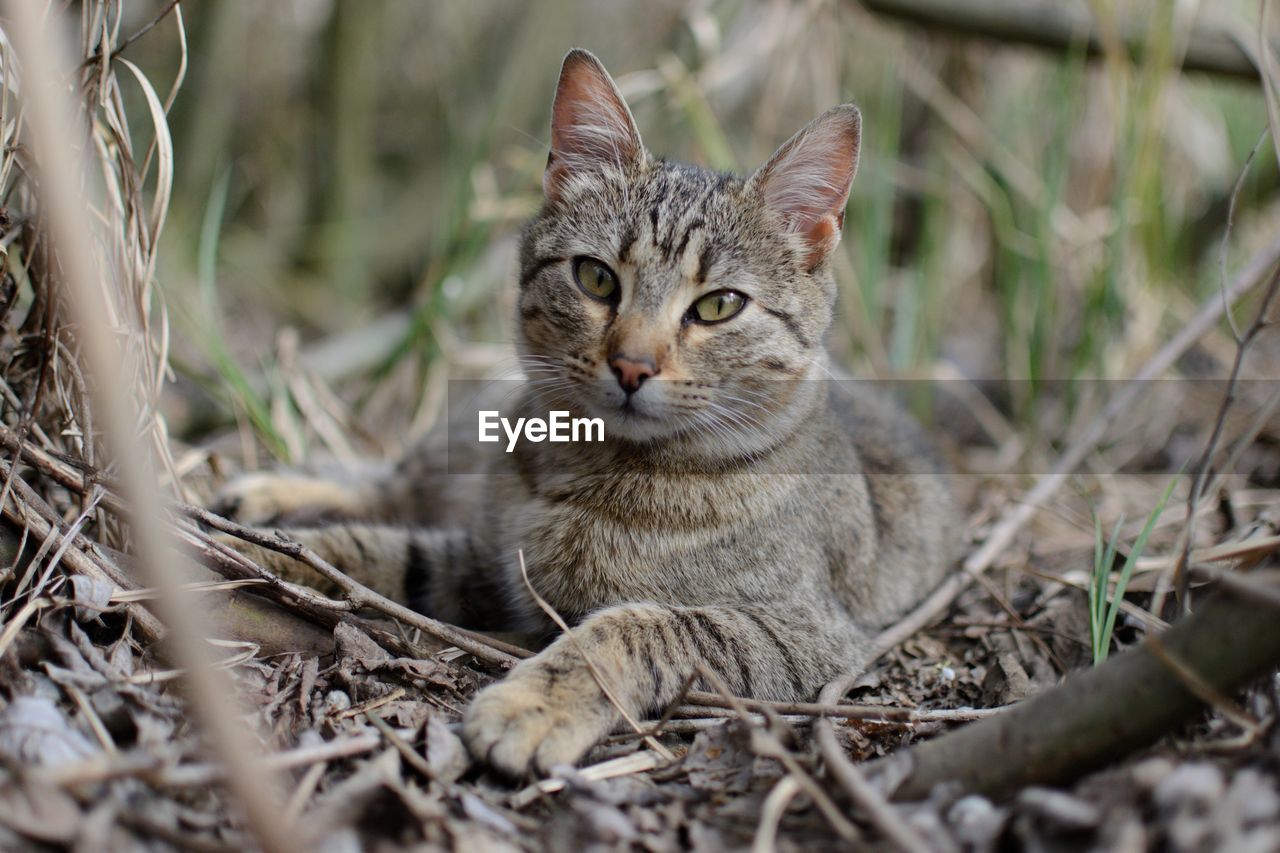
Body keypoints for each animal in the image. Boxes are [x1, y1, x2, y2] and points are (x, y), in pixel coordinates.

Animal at [217, 49, 962, 773]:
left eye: (719, 305)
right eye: (597, 278)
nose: (632, 364)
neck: (589, 472)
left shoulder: (801, 632)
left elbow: (633, 627)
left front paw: (533, 704)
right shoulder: (484, 559)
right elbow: (363, 549)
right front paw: (245, 550)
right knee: (392, 481)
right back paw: (265, 496)